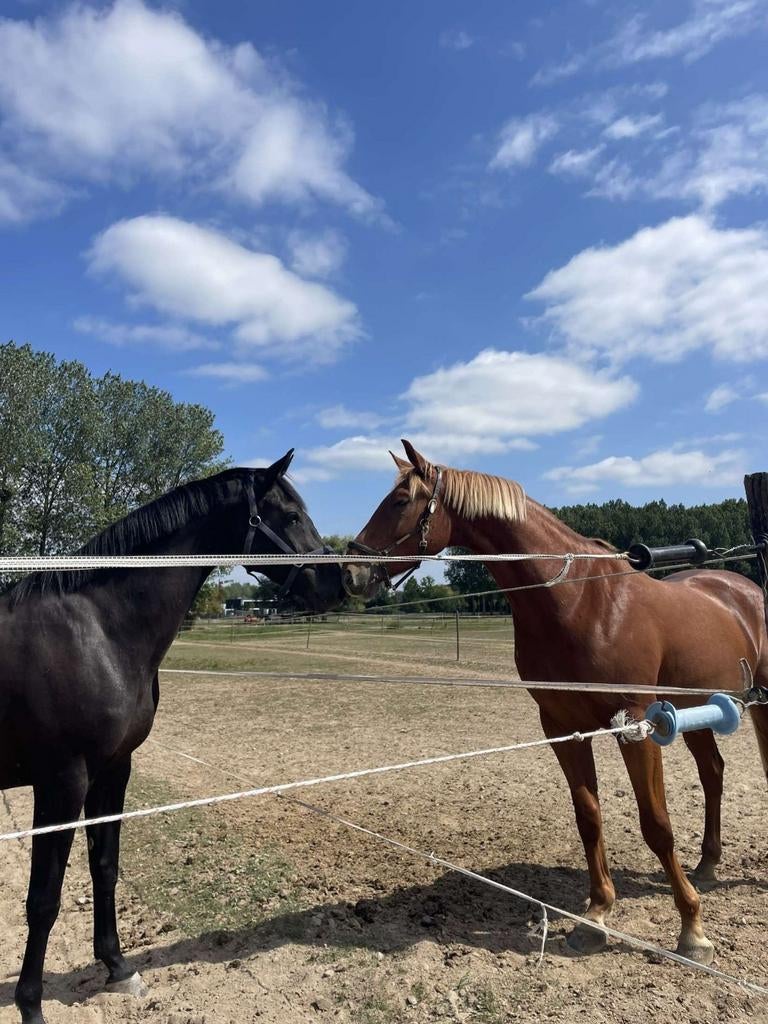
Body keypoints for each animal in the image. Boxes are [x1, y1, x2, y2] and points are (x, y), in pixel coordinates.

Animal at [0, 452, 341, 1024]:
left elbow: (105, 867)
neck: (97, 629)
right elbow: (43, 899)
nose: (336, 582)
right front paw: (31, 1005)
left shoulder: (113, 771)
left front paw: (118, 967)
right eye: (292, 515)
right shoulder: (61, 783)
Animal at [343, 440, 768, 965]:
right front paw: (597, 915)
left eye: (401, 501)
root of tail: (745, 590)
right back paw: (708, 863)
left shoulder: (635, 725)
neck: (579, 600)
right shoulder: (562, 726)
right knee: (713, 773)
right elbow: (589, 817)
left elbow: (656, 824)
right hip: (699, 713)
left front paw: (691, 928)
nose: (352, 571)